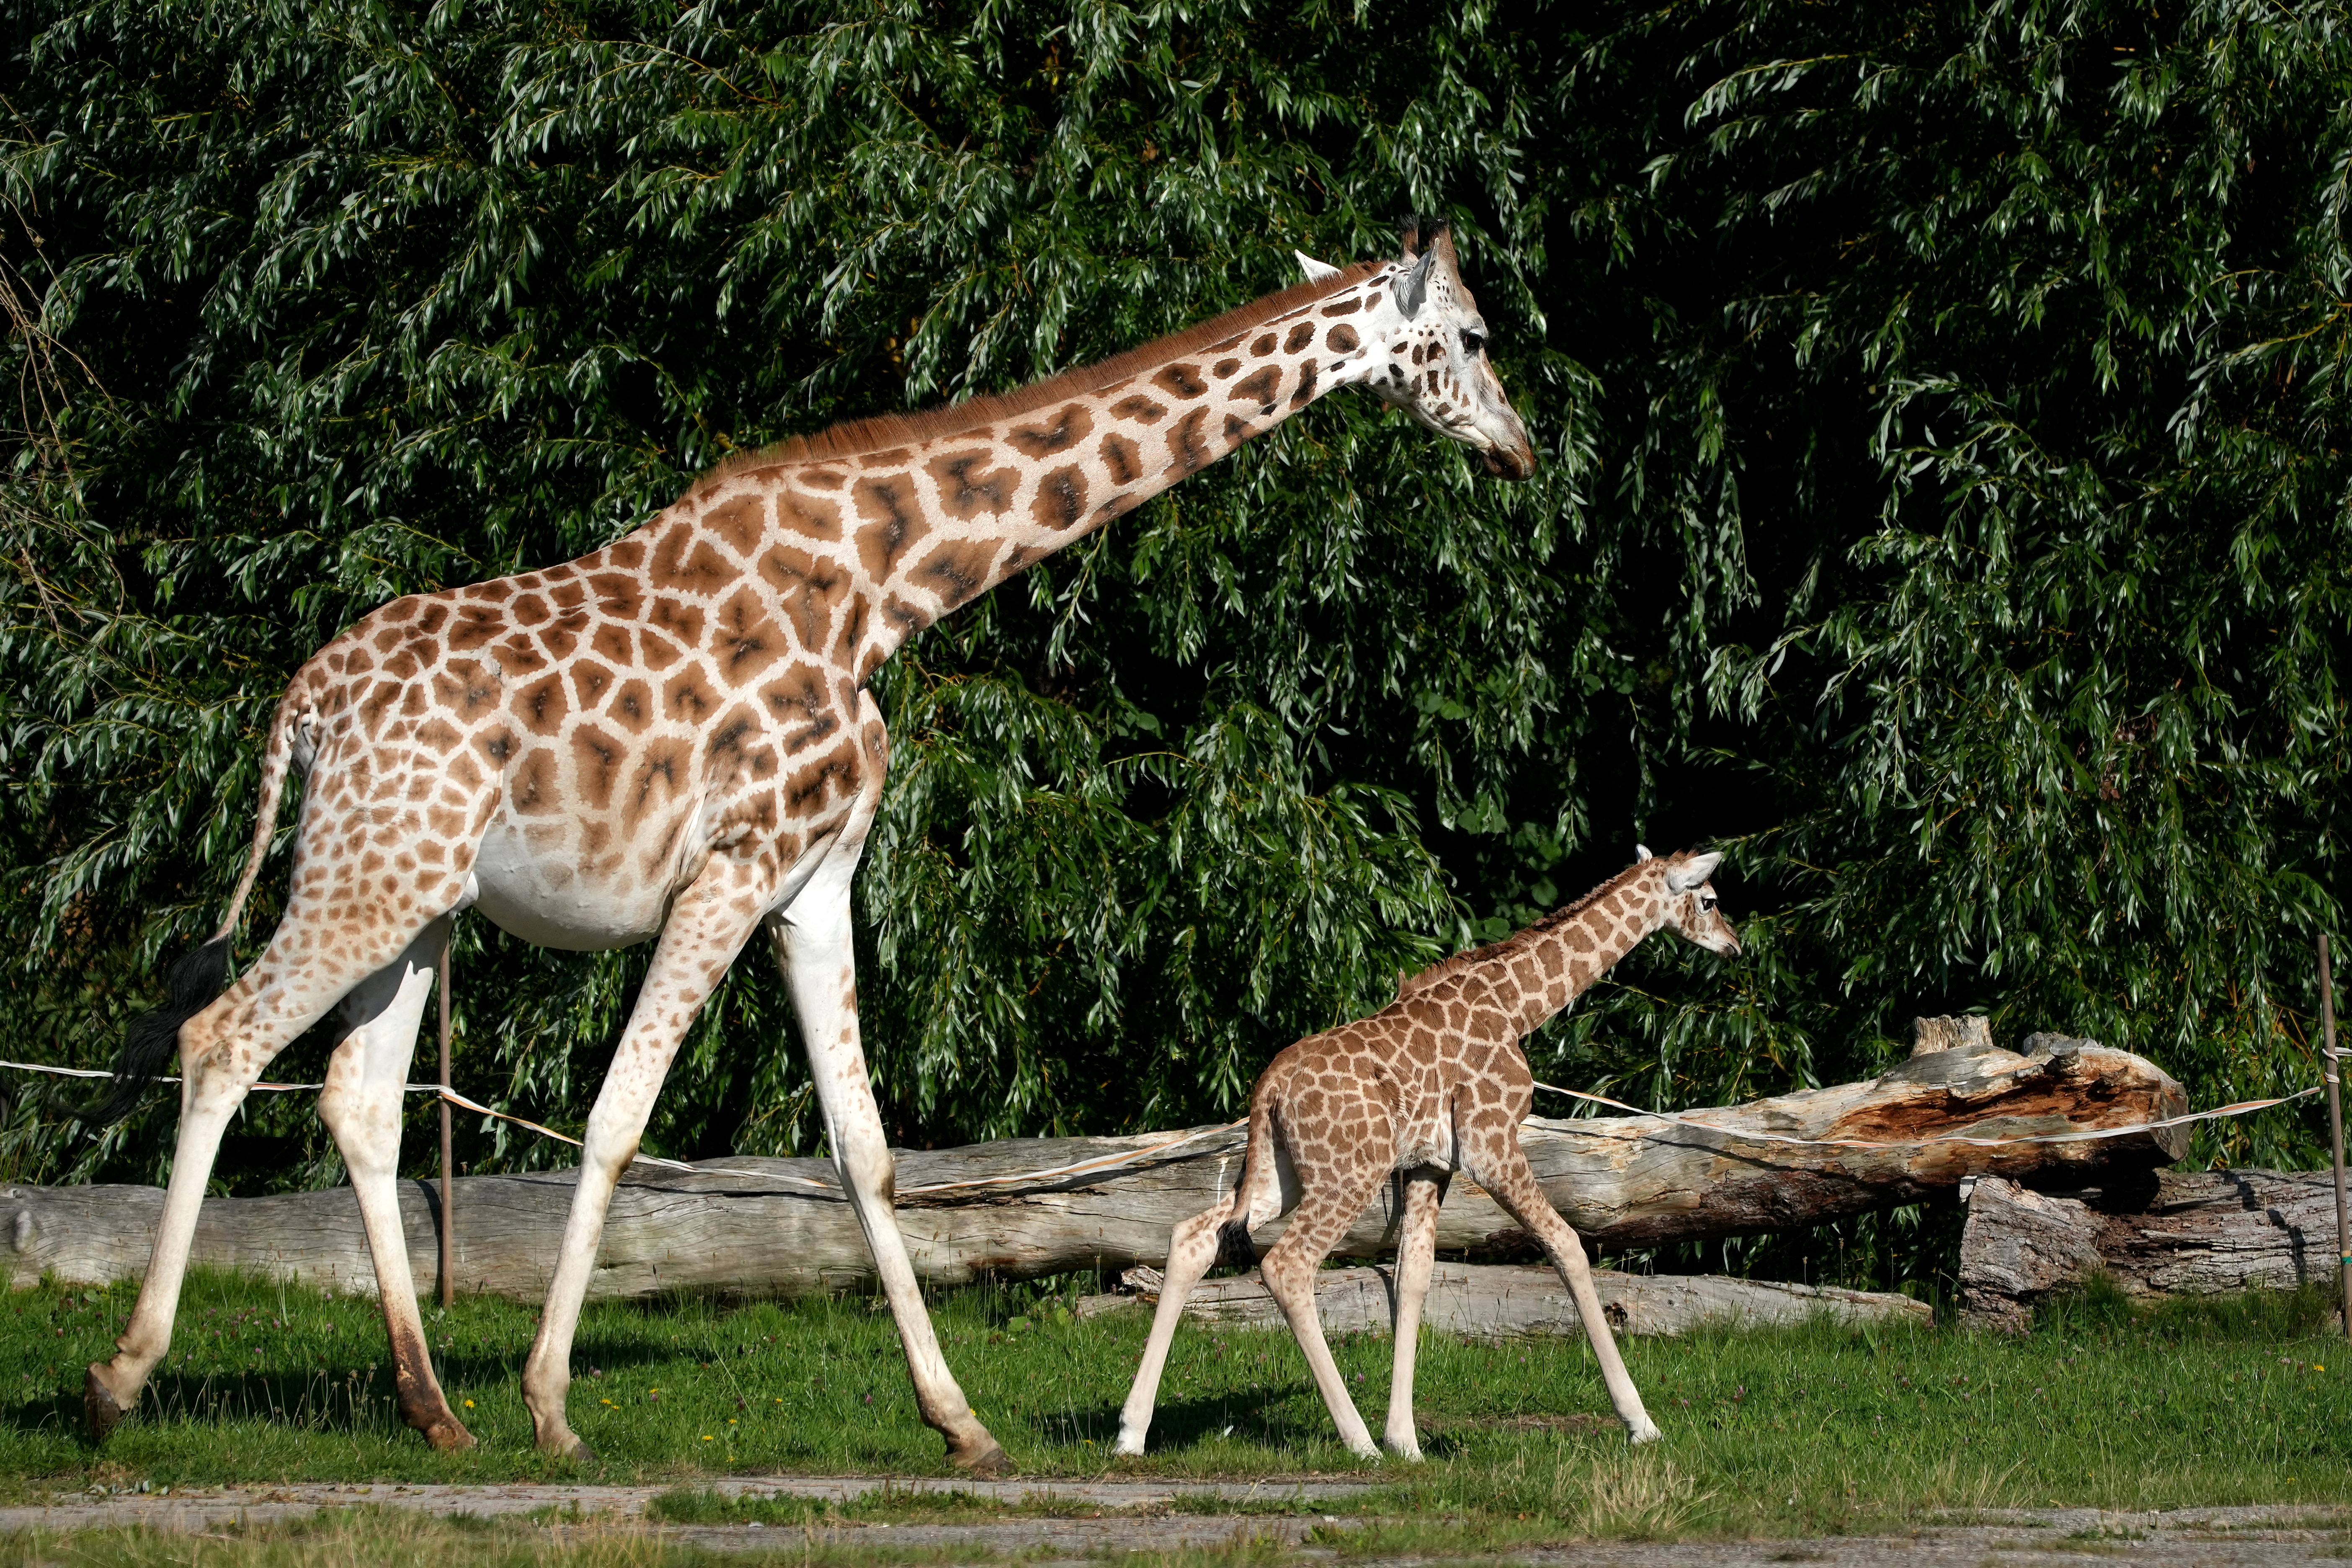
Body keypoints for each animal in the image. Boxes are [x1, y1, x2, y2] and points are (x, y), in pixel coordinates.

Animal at [77, 220, 1536, 1469]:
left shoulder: (813, 880)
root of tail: (300, 710)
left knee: (360, 1100)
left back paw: (433, 1413)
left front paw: (961, 1424)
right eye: (1470, 335)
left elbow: (864, 1151)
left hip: (415, 901)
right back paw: (122, 1378)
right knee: (223, 1042)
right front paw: (554, 1406)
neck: (887, 587)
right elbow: (617, 1121)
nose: (1521, 448)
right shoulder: (734, 863)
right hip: (363, 879)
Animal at [1113, 846, 1740, 1460]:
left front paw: (1407, 1442)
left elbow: (1412, 1276)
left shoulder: (1428, 1164)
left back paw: (1131, 1433)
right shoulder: (1491, 1142)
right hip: (1349, 1173)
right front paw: (1641, 1424)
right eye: (1710, 900)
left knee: (1194, 1236)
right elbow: (1567, 1246)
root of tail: (1269, 1086)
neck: (1516, 1006)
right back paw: (1357, 1441)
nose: (1734, 945)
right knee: (1288, 1265)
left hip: (1280, 1174)